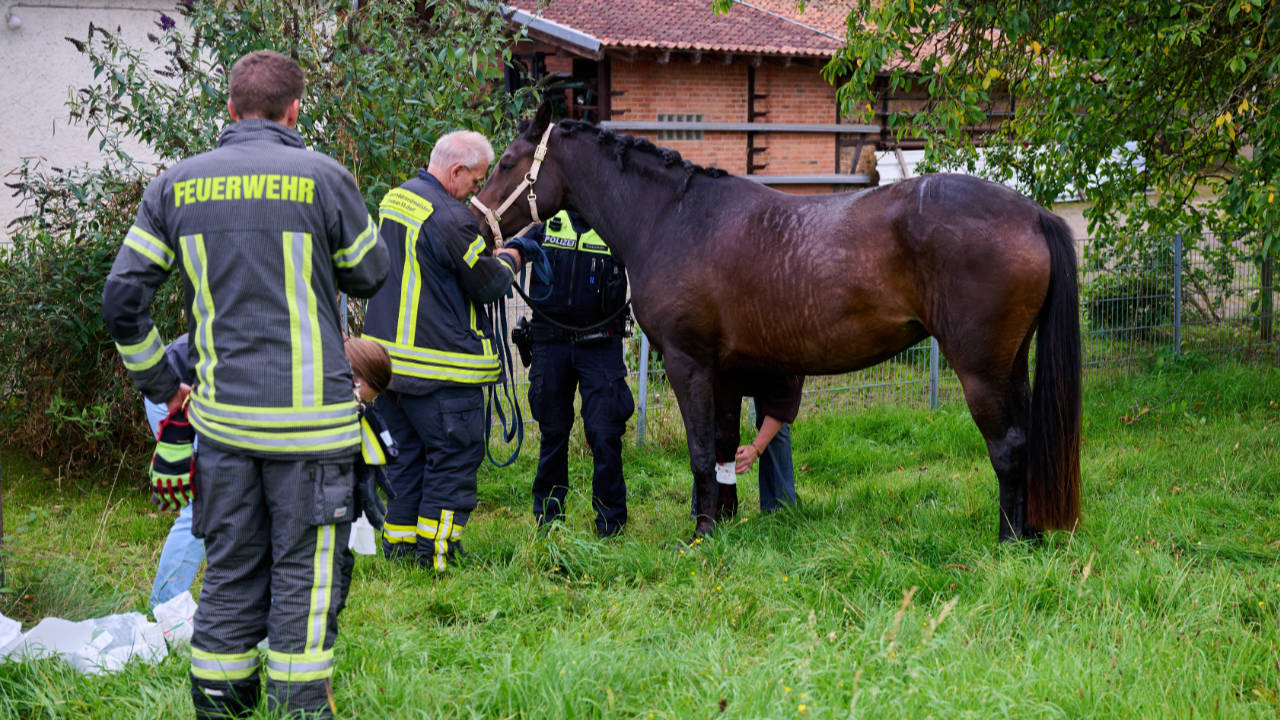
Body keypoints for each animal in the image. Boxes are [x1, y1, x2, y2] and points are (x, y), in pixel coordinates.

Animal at [473, 103, 1081, 542]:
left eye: (506, 162)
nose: (476, 225)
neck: (672, 218)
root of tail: (1033, 213)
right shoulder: (720, 372)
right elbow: (721, 446)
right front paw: (722, 520)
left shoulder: (687, 363)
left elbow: (700, 451)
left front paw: (701, 535)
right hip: (1012, 365)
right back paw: (1029, 533)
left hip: (981, 369)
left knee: (1009, 446)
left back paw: (1008, 540)